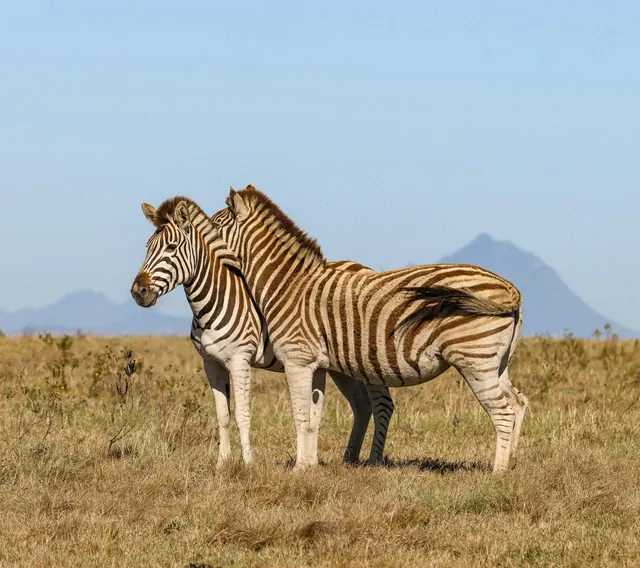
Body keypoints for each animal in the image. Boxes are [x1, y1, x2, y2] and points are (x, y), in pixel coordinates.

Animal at [130, 196, 395, 467]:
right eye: (147, 247)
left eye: (171, 247)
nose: (138, 292)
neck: (212, 300)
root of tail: (362, 267)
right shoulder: (210, 363)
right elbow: (222, 415)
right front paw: (221, 463)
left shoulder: (239, 360)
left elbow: (242, 413)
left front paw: (248, 463)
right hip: (340, 365)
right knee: (361, 405)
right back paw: (349, 458)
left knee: (382, 403)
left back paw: (374, 460)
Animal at [212, 185, 529, 473]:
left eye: (214, 225)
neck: (288, 285)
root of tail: (507, 287)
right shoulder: (316, 364)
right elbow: (314, 418)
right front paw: (310, 467)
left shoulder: (297, 359)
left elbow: (301, 415)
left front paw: (298, 470)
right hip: (496, 362)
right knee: (517, 402)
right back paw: (511, 462)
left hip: (474, 359)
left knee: (502, 412)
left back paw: (497, 474)